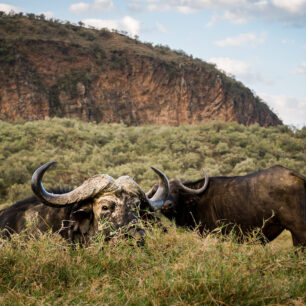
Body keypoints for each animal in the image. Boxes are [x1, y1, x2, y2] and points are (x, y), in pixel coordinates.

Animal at [151, 166, 306, 247]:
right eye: (159, 191)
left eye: (176, 191)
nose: (166, 205)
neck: (196, 202)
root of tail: (294, 175)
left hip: (299, 230)